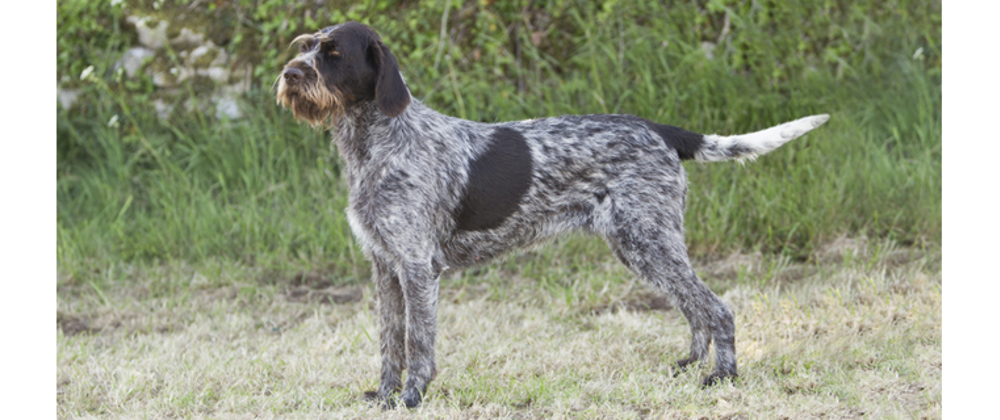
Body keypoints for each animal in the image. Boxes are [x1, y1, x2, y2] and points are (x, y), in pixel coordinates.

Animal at [276, 22, 828, 406]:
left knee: (716, 307)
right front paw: (386, 395)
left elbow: (417, 344)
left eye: (334, 54)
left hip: (648, 240)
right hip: (640, 245)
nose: (290, 74)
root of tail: (661, 129)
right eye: (306, 46)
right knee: (694, 308)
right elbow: (390, 342)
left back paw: (721, 376)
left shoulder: (417, 267)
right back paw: (689, 366)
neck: (374, 144)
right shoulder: (385, 265)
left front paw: (412, 397)